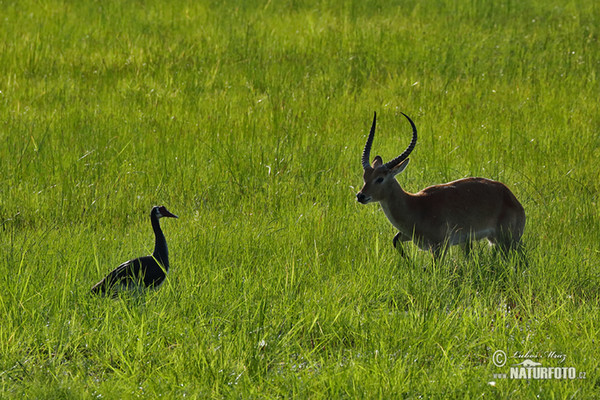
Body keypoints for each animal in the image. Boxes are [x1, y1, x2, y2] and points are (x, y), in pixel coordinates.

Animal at [356, 111, 524, 258]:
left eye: (380, 179)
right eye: (365, 176)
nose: (360, 196)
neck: (415, 205)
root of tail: (511, 197)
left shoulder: (440, 246)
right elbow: (395, 241)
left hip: (508, 240)